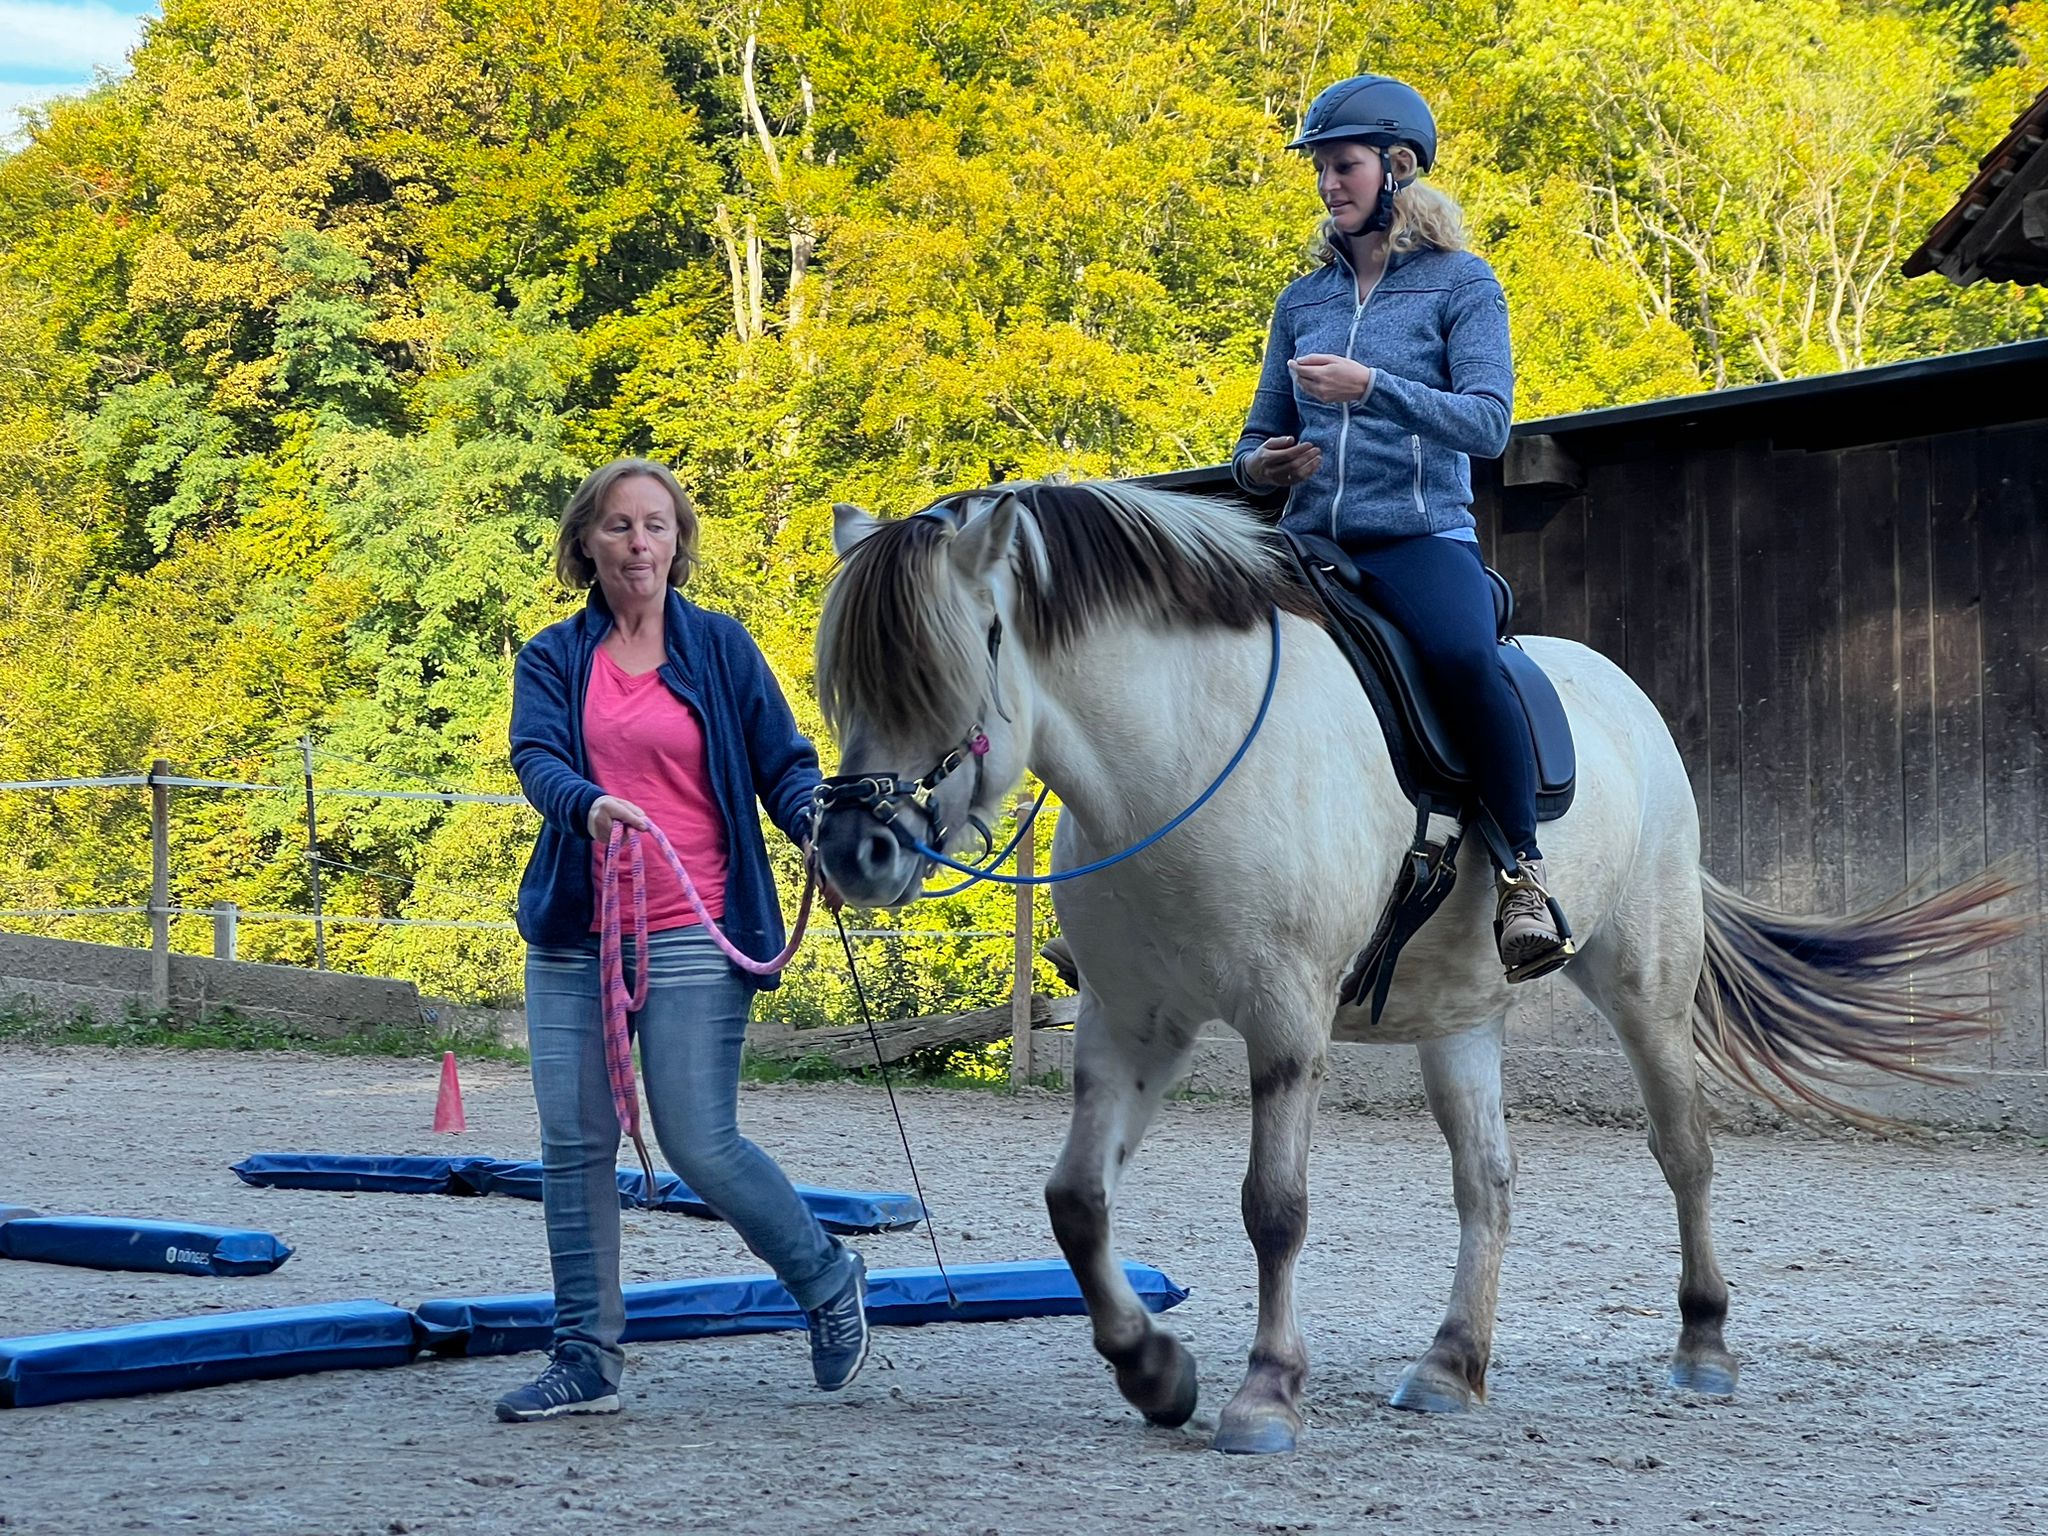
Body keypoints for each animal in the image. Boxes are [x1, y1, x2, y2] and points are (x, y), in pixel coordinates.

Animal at [802, 479, 2015, 1458]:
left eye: (947, 662)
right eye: (844, 680)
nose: (854, 852)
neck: (1178, 763)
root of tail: (1621, 695)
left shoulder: (1283, 1017)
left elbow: (1274, 1207)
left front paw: (1263, 1396)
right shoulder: (1130, 1023)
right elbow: (1075, 1202)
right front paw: (1154, 1372)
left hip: (1645, 988)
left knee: (1685, 1154)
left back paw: (1703, 1345)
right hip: (1457, 1021)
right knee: (1487, 1183)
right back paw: (1448, 1365)